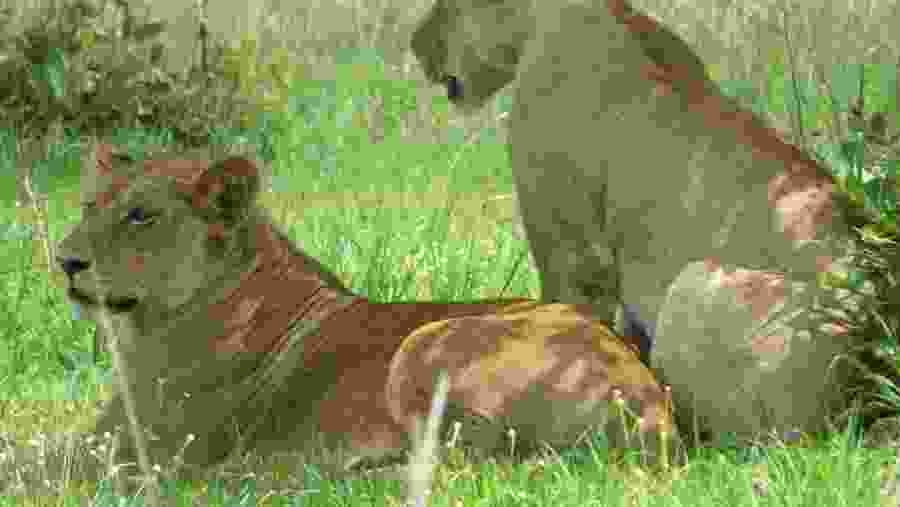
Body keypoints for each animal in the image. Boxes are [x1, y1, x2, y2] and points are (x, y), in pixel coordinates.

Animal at [56, 142, 681, 479]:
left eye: (141, 215)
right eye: (89, 205)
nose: (65, 260)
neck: (144, 325)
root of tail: (652, 404)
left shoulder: (143, 450)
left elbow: (41, 464)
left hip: (425, 343)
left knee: (452, 461)